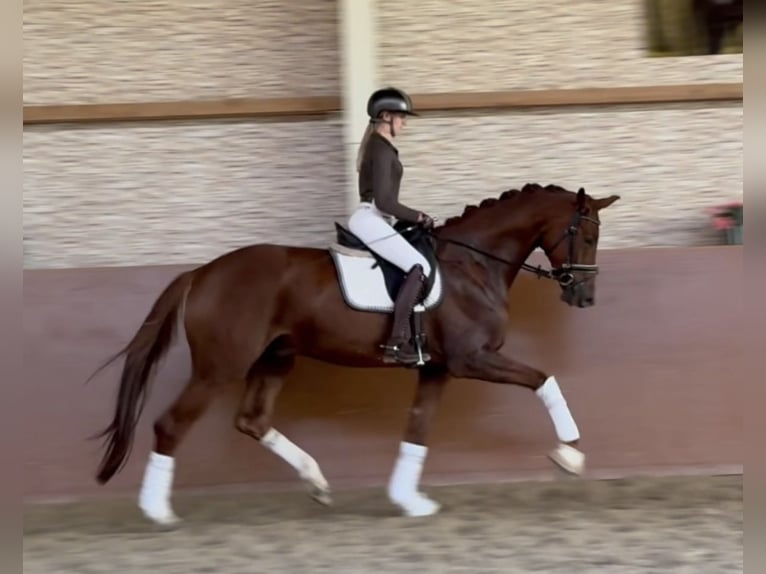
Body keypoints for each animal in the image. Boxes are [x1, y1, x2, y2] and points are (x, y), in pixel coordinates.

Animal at [94, 183, 624, 528]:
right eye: (587, 235)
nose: (584, 297)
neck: (473, 265)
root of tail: (201, 272)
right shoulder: (471, 360)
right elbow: (544, 379)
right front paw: (569, 454)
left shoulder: (438, 369)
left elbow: (417, 429)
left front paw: (409, 501)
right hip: (219, 368)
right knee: (171, 425)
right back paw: (159, 512)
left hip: (274, 359)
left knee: (251, 421)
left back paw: (317, 483)